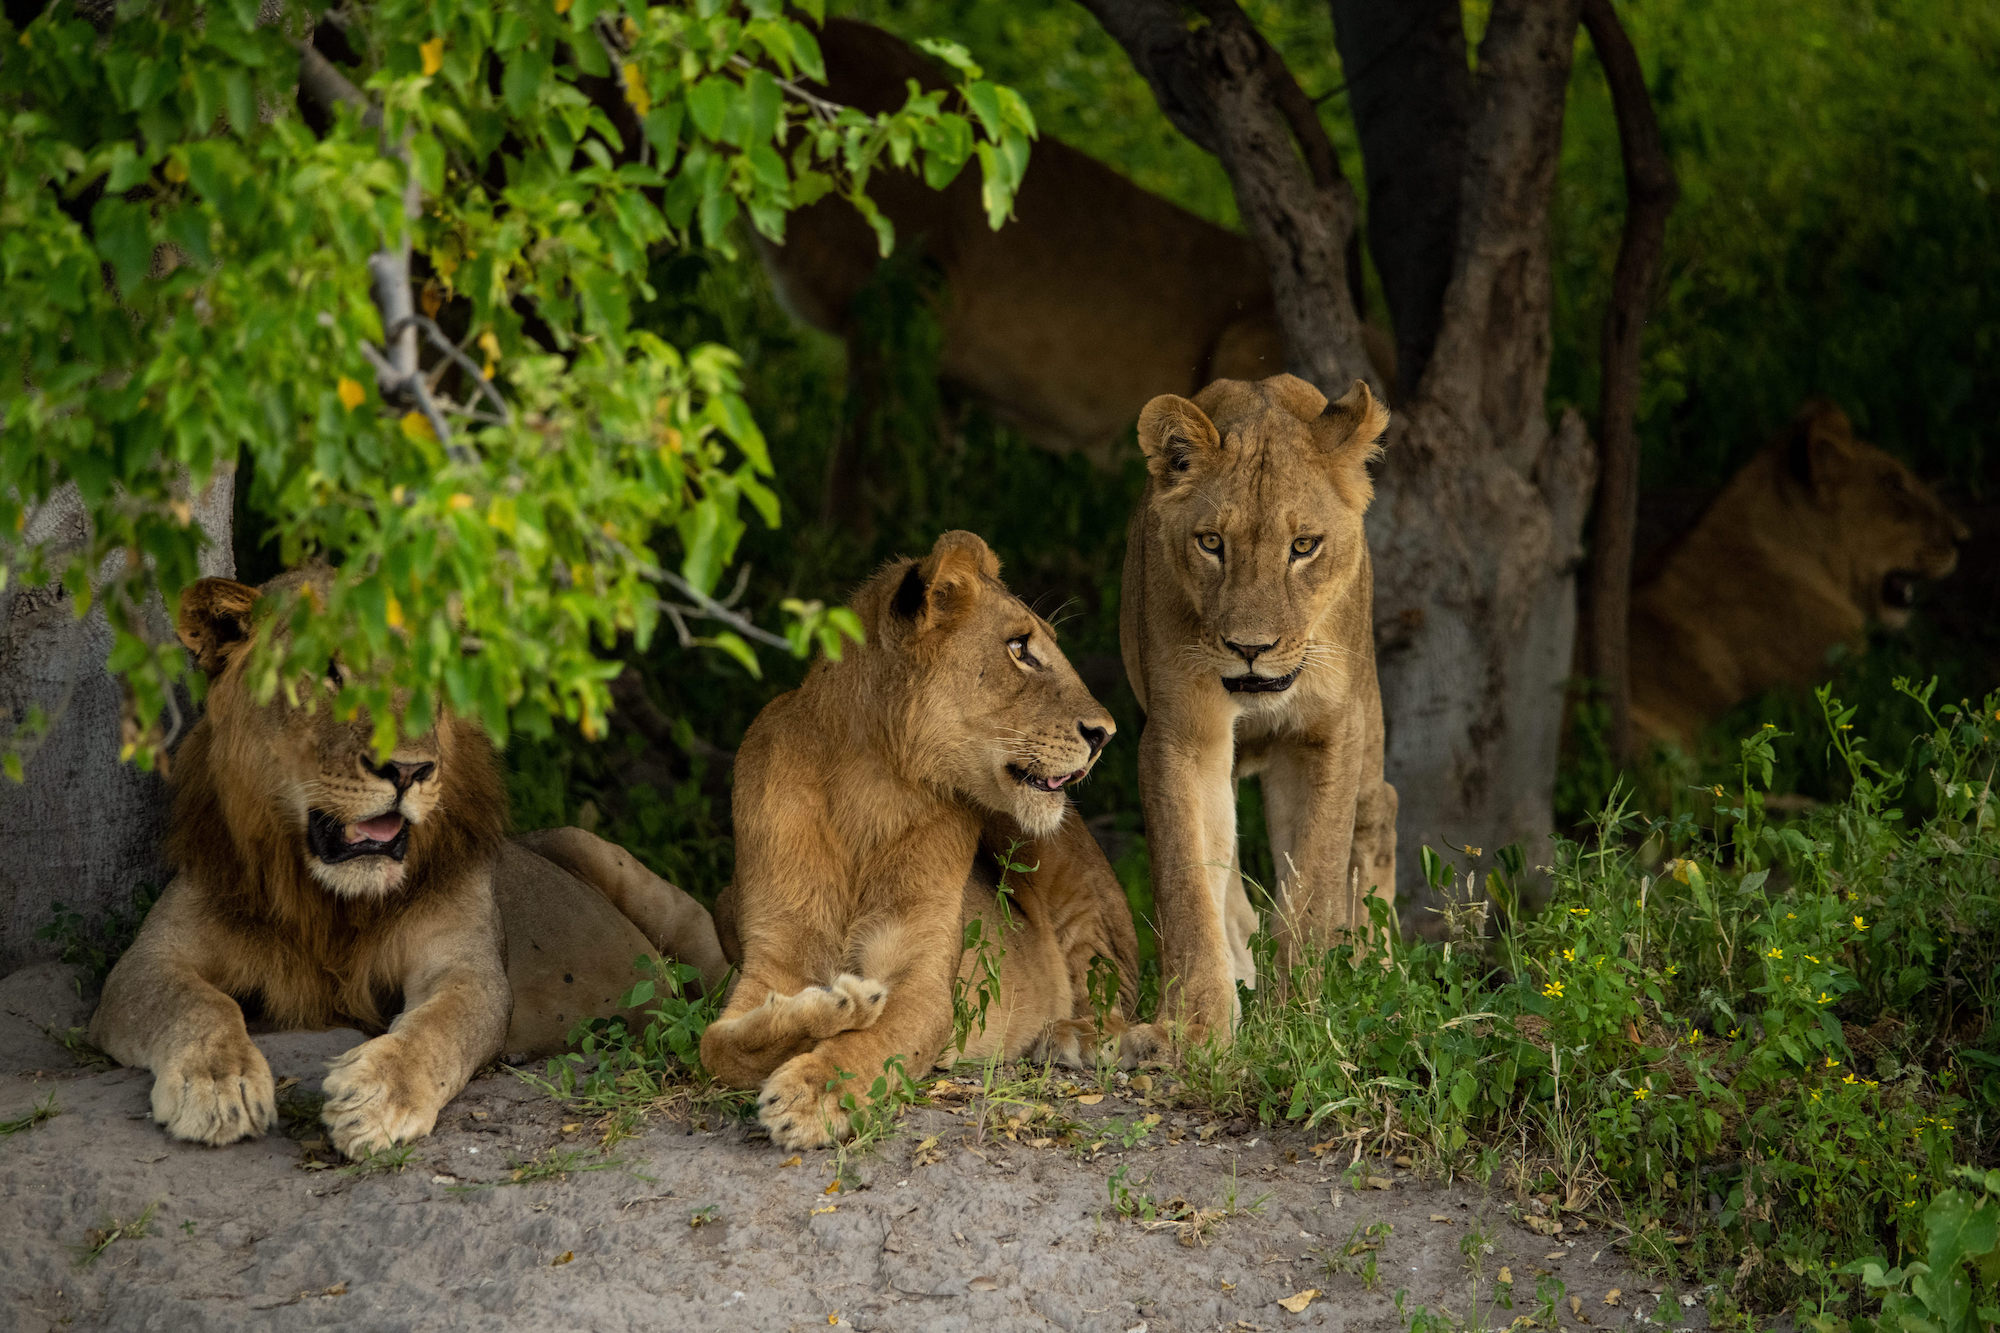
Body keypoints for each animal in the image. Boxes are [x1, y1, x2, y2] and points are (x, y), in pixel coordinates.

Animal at [89, 571, 729, 1159]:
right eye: (329, 671)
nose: (407, 771)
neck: (328, 902)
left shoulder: (465, 966)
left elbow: (439, 1028)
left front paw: (376, 1098)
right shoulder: (149, 959)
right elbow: (196, 1003)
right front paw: (218, 1084)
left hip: (632, 877)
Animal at [699, 531, 1159, 1150]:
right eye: (1019, 647)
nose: (1104, 735)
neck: (870, 793)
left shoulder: (924, 983)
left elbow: (873, 1044)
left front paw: (812, 1094)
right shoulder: (770, 959)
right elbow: (717, 1045)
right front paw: (836, 1004)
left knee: (1112, 999)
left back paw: (1089, 1038)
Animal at [1121, 374, 1396, 1039]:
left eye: (1303, 546)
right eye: (1211, 543)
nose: (1251, 650)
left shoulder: (1330, 732)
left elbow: (1316, 879)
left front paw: (1299, 1014)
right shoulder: (1182, 734)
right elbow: (1188, 878)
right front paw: (1196, 1025)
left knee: (1379, 813)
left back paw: (1380, 971)